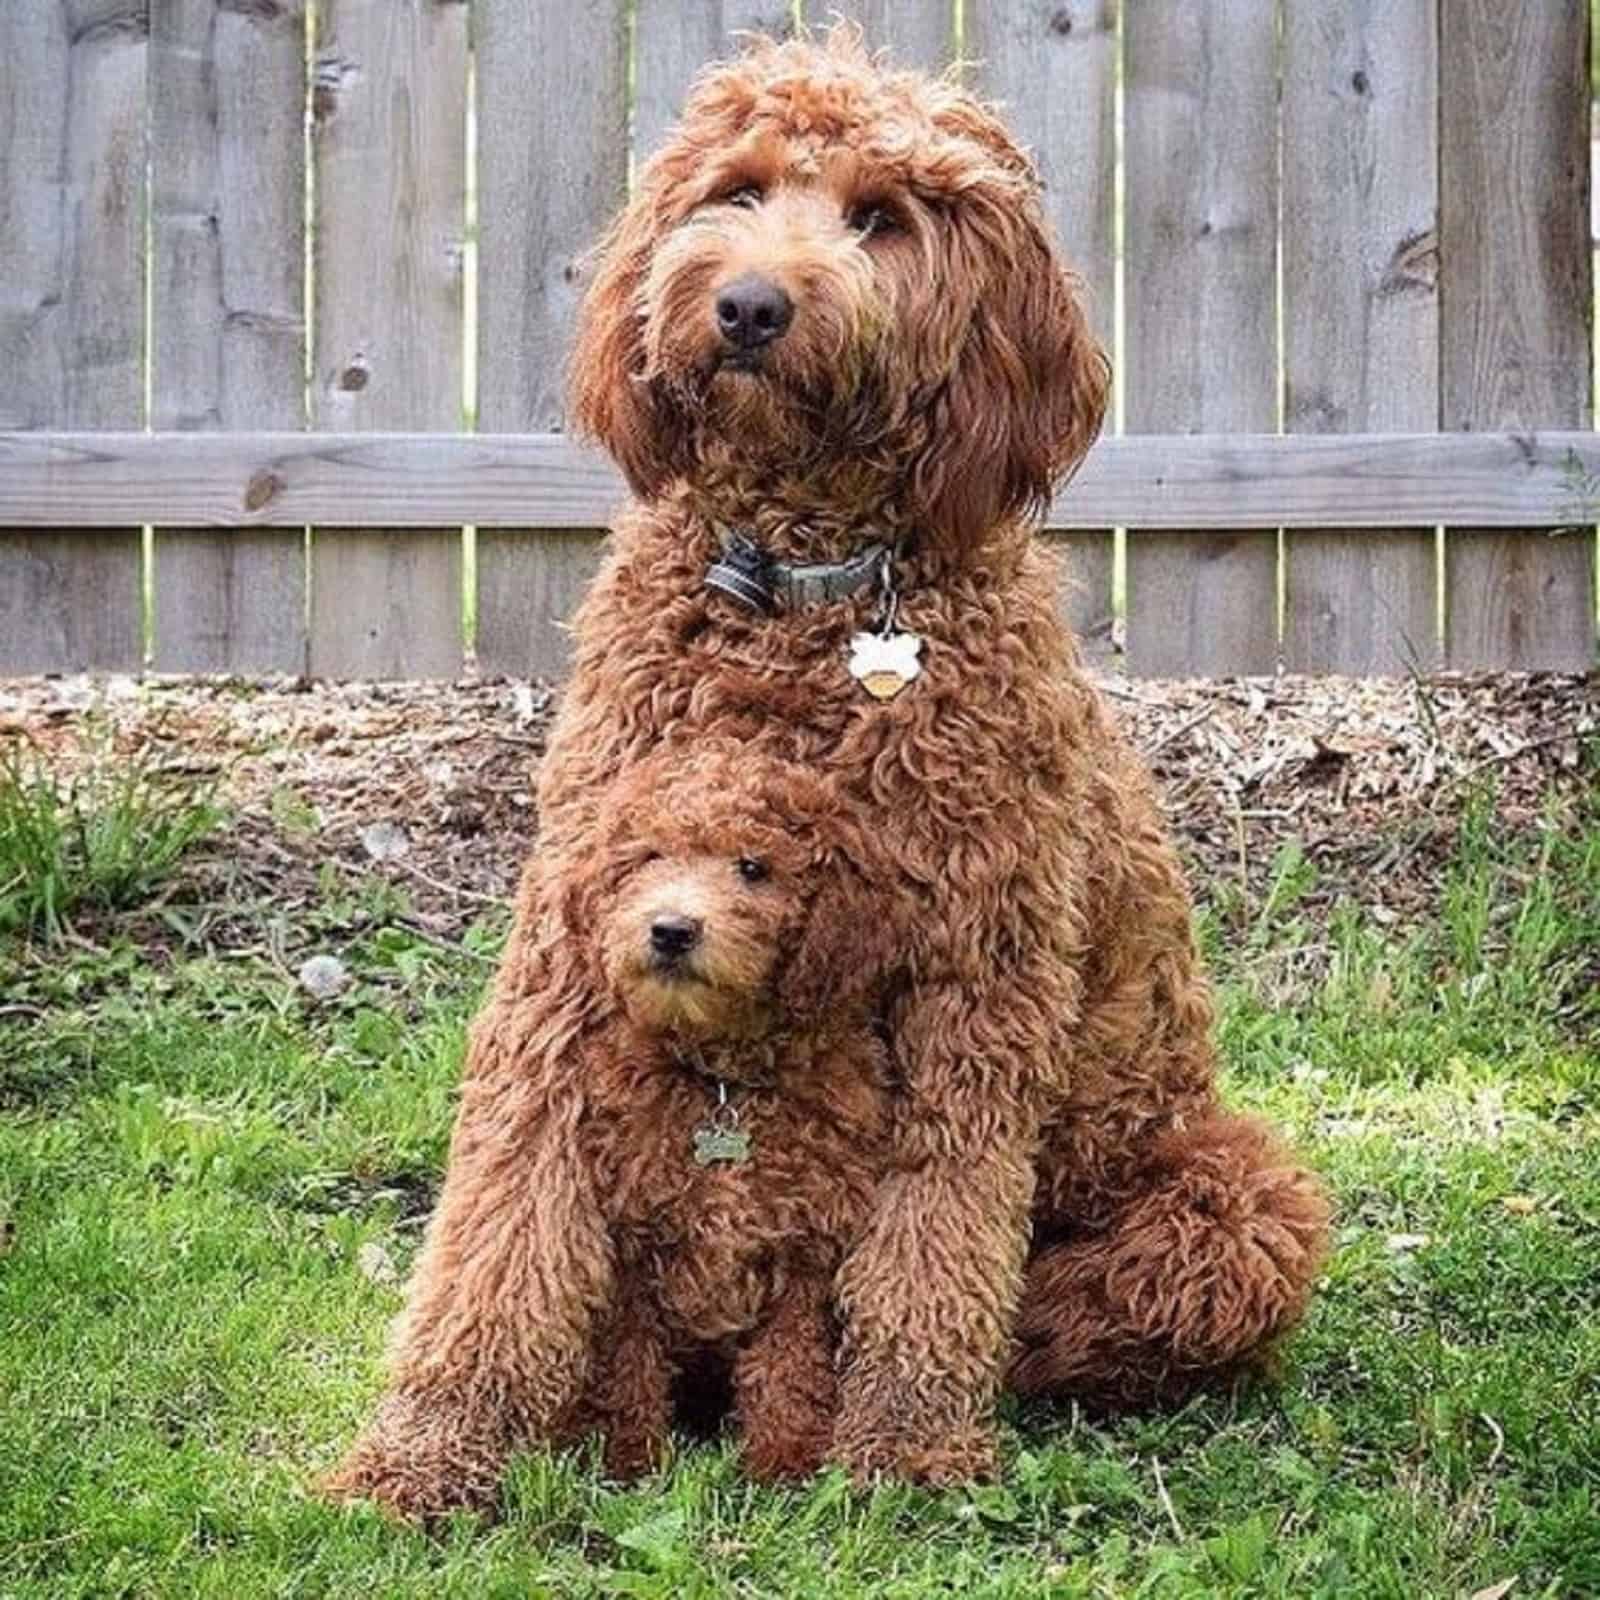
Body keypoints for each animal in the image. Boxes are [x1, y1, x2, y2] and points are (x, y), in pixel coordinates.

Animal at [324, 28, 1324, 1523]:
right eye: (736, 191)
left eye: (881, 219)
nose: (746, 306)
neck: (802, 596)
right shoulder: (568, 956)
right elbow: (499, 1228)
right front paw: (423, 1454)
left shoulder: (977, 982)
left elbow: (934, 1240)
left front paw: (899, 1449)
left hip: (1234, 1200)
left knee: (1067, 1307)